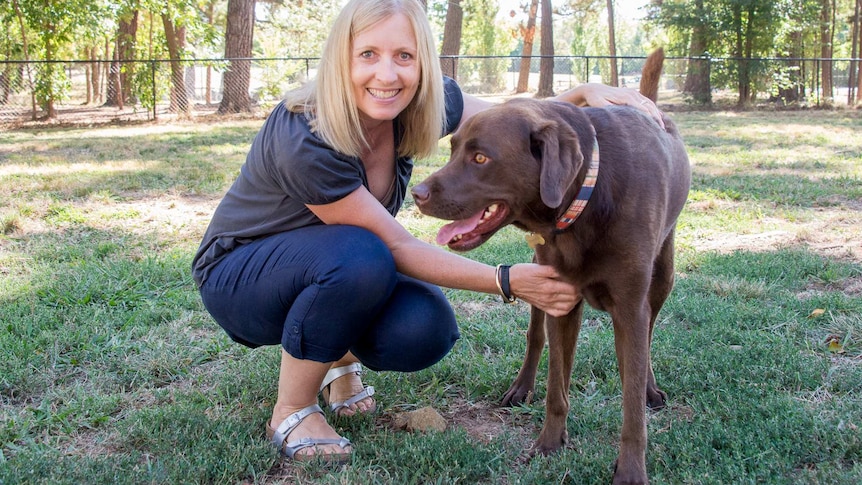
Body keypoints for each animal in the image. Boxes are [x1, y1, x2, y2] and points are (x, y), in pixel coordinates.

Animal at [414, 51, 696, 482]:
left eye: (481, 157)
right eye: (453, 150)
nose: (417, 193)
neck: (587, 196)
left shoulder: (630, 308)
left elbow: (631, 406)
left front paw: (631, 470)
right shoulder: (559, 299)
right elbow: (555, 386)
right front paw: (549, 443)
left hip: (662, 276)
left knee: (647, 339)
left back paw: (648, 388)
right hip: (537, 275)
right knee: (535, 338)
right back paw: (521, 387)